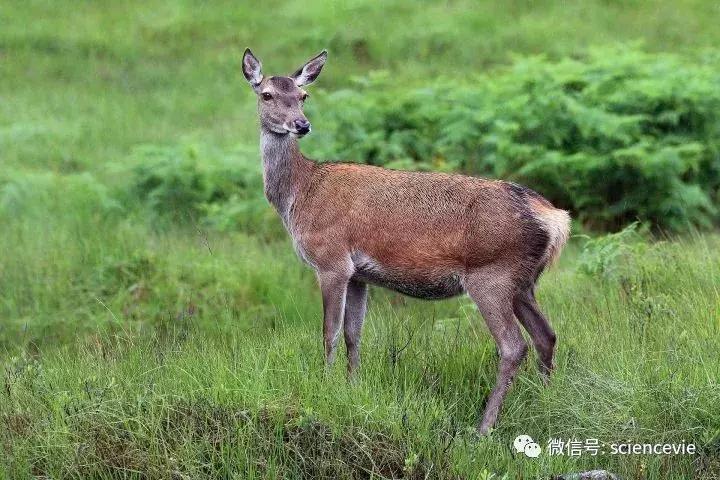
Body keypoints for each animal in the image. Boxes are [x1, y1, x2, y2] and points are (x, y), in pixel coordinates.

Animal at [241, 48, 571, 434]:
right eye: (267, 95)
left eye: (303, 95)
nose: (301, 125)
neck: (300, 195)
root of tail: (555, 219)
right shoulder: (358, 274)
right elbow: (354, 333)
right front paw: (352, 389)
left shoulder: (330, 261)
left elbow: (329, 332)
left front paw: (324, 387)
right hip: (524, 281)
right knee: (546, 335)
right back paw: (544, 403)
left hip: (492, 275)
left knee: (513, 345)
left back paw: (483, 427)